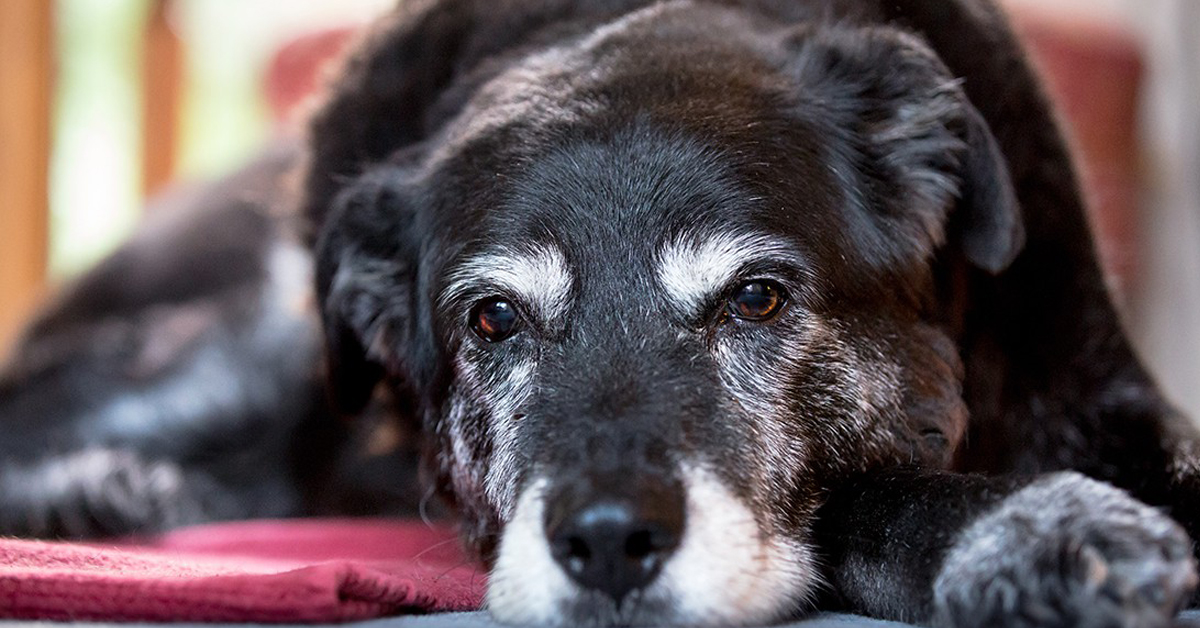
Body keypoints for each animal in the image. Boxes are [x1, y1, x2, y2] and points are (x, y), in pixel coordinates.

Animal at [2, 1, 1200, 628]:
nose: (611, 542)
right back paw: (100, 491)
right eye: (492, 321)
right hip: (258, 335)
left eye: (756, 297)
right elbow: (871, 492)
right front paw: (1037, 529)